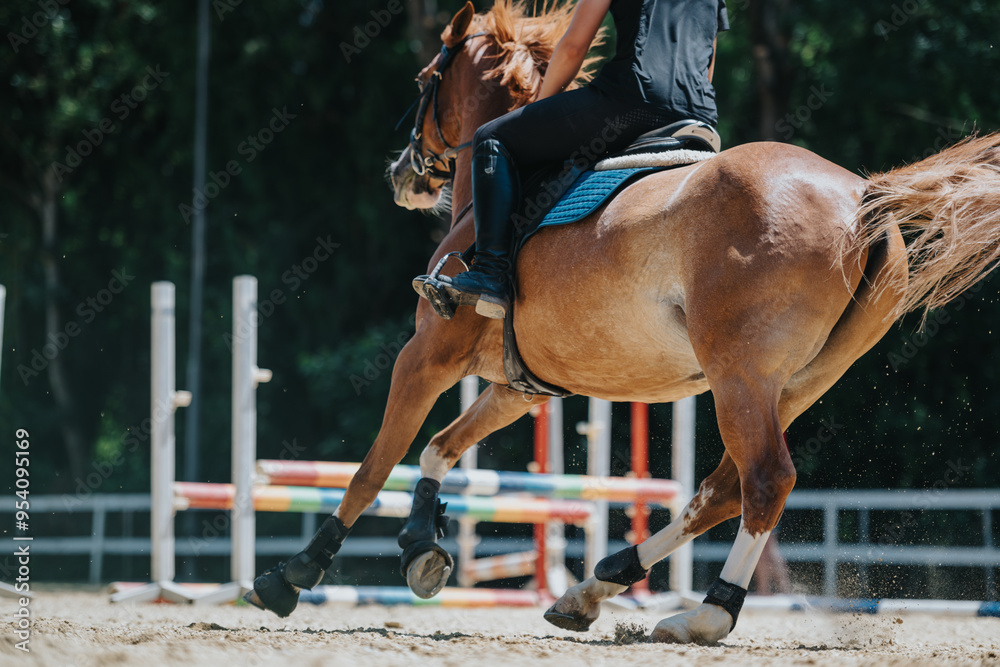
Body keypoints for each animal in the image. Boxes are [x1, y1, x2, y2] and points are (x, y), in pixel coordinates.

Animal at [252, 0, 1000, 644]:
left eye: (424, 80)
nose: (402, 172)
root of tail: (864, 194)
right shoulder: (520, 385)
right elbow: (439, 447)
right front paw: (418, 545)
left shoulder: (427, 354)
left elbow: (374, 467)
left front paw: (294, 573)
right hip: (793, 385)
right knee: (722, 489)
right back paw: (595, 587)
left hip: (739, 374)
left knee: (763, 480)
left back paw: (705, 614)